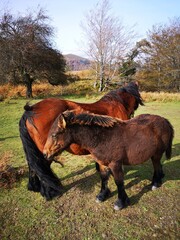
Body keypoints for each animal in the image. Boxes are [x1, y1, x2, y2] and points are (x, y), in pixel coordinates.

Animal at [43, 110, 174, 210]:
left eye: (54, 135)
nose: (45, 154)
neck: (102, 138)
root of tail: (165, 121)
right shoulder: (102, 163)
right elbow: (104, 178)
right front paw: (102, 195)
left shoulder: (115, 164)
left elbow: (119, 182)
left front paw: (121, 202)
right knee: (159, 166)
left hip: (156, 155)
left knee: (157, 166)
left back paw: (156, 183)